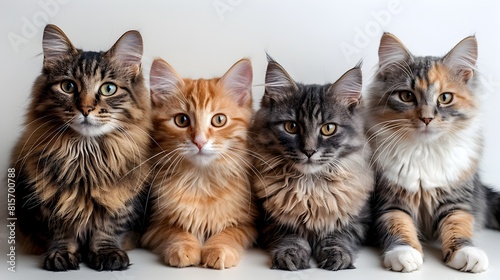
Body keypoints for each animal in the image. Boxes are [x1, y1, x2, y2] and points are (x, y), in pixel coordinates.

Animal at [12, 24, 150, 272]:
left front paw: (106, 254)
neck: (86, 158)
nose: (85, 109)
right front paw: (62, 255)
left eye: (108, 88)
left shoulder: (123, 198)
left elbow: (108, 228)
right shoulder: (48, 201)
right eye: (68, 86)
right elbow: (61, 231)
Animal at [142, 57, 256, 270]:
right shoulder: (155, 224)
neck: (201, 180)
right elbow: (176, 231)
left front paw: (218, 249)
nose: (199, 141)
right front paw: (184, 247)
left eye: (219, 120)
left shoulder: (247, 223)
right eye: (182, 120)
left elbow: (228, 234)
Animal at [252, 57, 374, 272]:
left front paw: (337, 255)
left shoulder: (358, 219)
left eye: (328, 128)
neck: (310, 186)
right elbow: (292, 237)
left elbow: (337, 236)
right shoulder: (271, 221)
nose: (309, 151)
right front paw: (291, 255)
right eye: (291, 127)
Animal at [366, 31, 500, 272]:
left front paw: (466, 253)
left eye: (445, 98)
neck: (423, 151)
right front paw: (404, 254)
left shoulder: (456, 201)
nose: (426, 118)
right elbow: (398, 224)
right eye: (407, 96)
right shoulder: (387, 201)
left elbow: (458, 224)